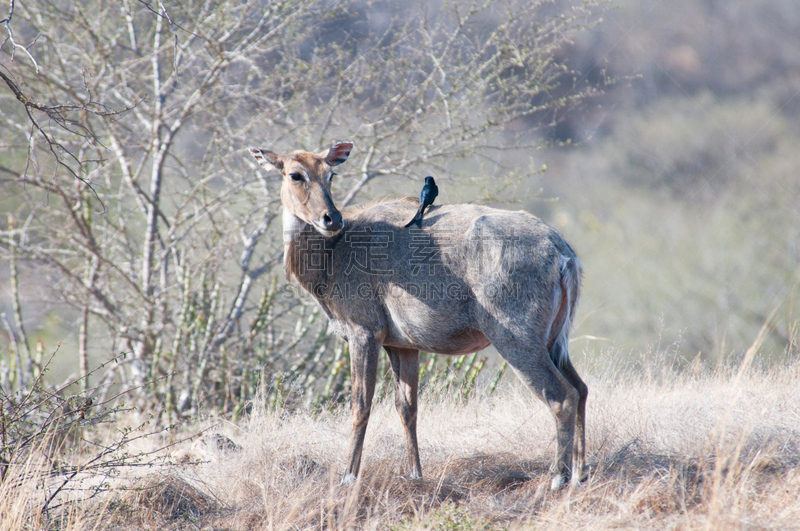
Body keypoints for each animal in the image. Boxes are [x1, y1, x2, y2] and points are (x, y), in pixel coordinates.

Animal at [250, 142, 588, 490]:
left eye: (330, 174)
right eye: (295, 174)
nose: (331, 218)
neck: (331, 256)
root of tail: (563, 254)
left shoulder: (364, 332)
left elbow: (360, 406)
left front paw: (348, 477)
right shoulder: (402, 345)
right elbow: (407, 408)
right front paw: (416, 474)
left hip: (516, 339)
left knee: (561, 396)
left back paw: (559, 478)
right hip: (553, 341)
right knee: (581, 390)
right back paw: (579, 473)